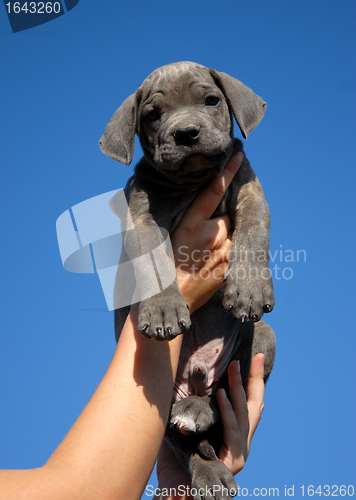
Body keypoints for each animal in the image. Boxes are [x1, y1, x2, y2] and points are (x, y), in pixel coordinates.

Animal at [98, 62, 276, 500]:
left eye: (211, 100)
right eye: (152, 115)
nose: (186, 134)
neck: (192, 182)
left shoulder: (250, 191)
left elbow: (254, 234)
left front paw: (249, 289)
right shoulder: (142, 216)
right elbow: (155, 263)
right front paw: (163, 310)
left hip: (262, 339)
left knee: (224, 394)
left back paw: (197, 411)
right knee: (185, 443)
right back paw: (209, 467)